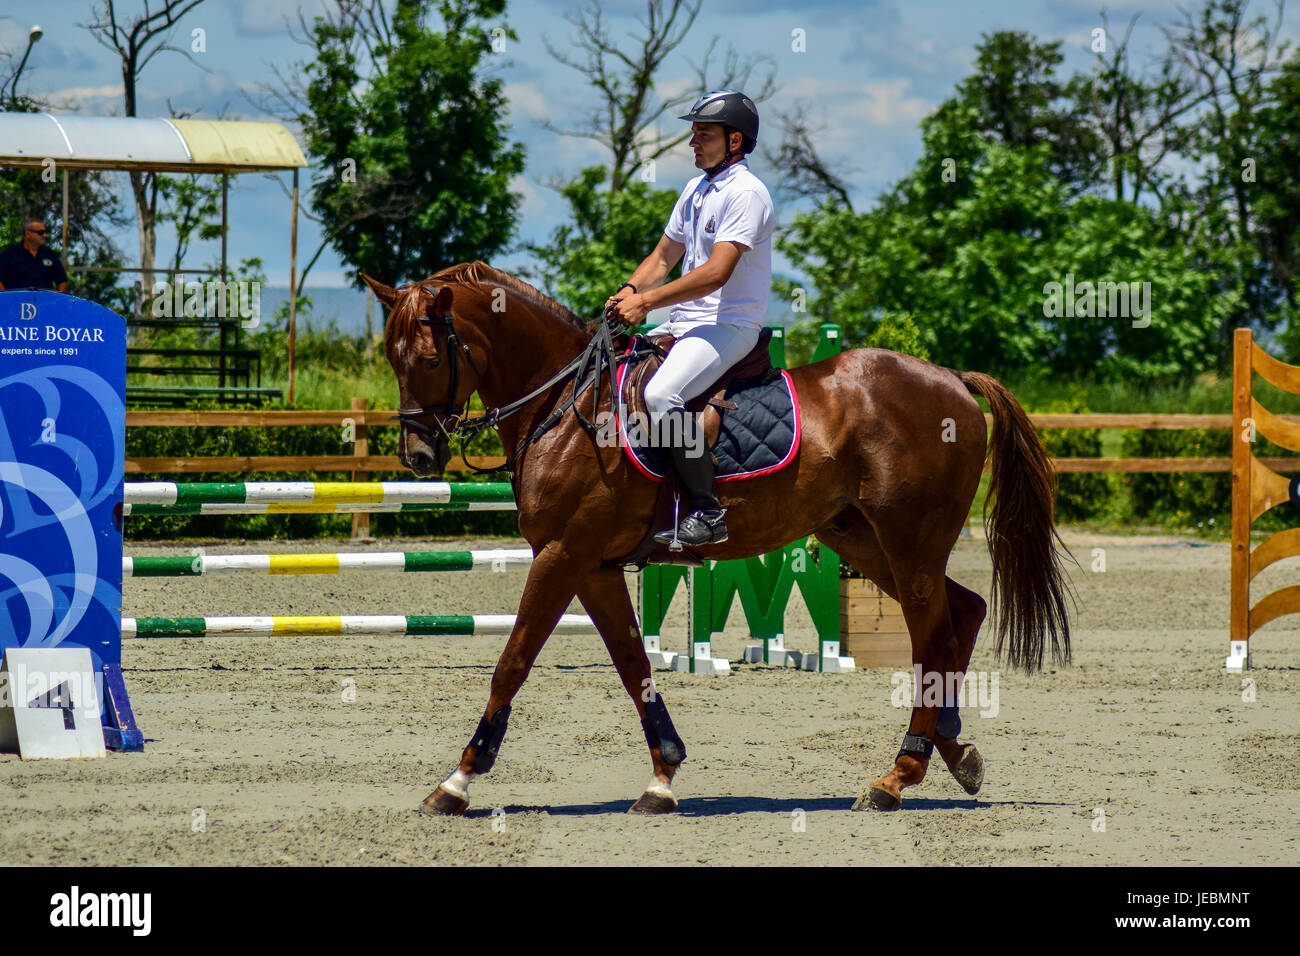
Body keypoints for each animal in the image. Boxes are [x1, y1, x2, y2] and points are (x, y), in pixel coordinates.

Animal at [361, 261, 1071, 816]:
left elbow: (511, 663)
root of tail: (952, 379)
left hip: (908, 541)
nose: (419, 456)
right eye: (393, 360)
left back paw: (899, 776)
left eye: (430, 359)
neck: (568, 404)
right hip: (861, 540)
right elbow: (634, 665)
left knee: (933, 634)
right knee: (962, 612)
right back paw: (953, 749)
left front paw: (456, 782)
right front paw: (663, 776)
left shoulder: (561, 557)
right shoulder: (592, 565)